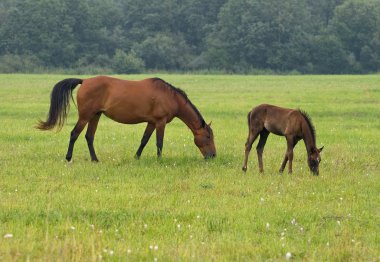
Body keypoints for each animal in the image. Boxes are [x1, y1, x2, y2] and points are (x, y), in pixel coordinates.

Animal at [38, 75, 217, 162]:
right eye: (208, 136)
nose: (213, 156)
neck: (169, 96)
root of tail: (85, 81)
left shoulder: (151, 122)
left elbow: (144, 140)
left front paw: (136, 157)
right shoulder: (160, 122)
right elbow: (159, 142)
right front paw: (159, 160)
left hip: (95, 115)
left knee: (89, 137)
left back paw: (95, 159)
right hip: (85, 116)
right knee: (74, 134)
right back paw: (69, 158)